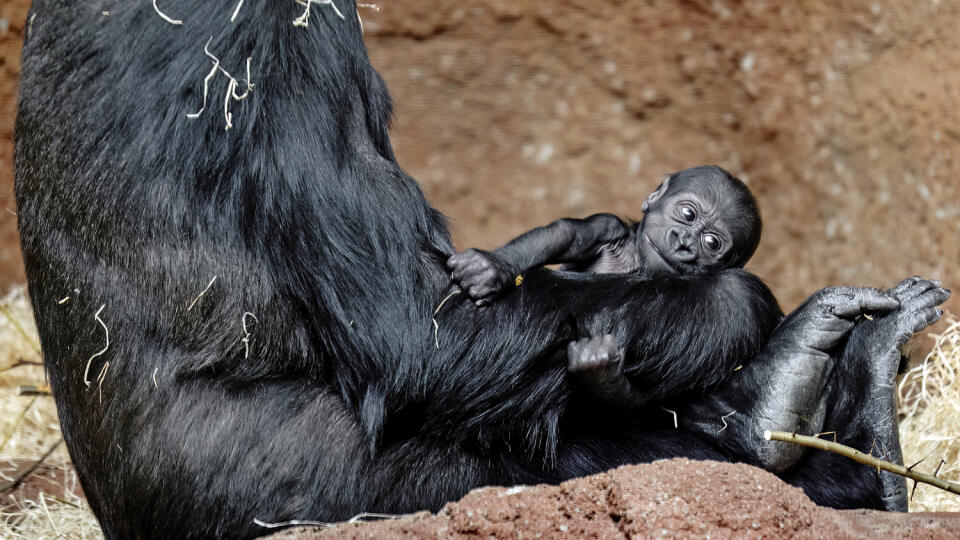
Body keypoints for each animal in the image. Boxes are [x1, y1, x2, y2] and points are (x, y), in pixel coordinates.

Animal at [448, 165, 764, 410]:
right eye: (687, 213)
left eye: (711, 242)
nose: (683, 242)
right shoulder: (609, 227)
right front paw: (494, 267)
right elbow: (569, 234)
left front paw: (602, 376)